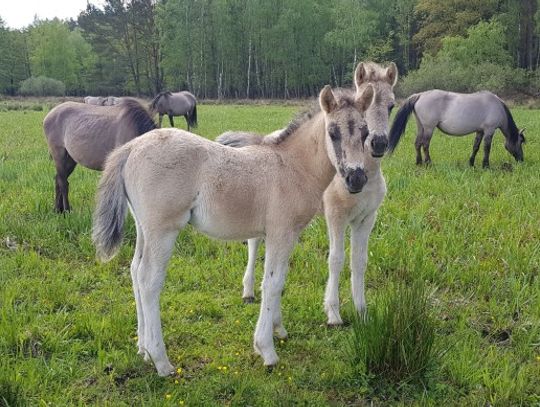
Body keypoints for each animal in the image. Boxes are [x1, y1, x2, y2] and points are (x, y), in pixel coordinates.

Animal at [92, 66, 376, 376]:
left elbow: (280, 280)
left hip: (143, 228)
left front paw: (279, 329)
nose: (357, 178)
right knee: (149, 280)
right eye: (332, 133)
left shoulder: (286, 235)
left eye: (365, 132)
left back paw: (143, 349)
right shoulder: (281, 232)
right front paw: (266, 349)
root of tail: (131, 147)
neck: (292, 167)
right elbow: (271, 284)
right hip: (163, 231)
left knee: (134, 271)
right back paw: (161, 361)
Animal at [215, 61, 396, 326]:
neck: (368, 177)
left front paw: (362, 312)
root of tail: (266, 138)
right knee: (254, 242)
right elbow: (336, 259)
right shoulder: (335, 216)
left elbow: (360, 261)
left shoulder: (366, 219)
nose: (379, 144)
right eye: (369, 106)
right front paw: (333, 313)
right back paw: (248, 291)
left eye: (392, 105)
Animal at [390, 89, 524, 167]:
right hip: (429, 128)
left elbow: (476, 147)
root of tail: (420, 95)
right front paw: (486, 165)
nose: (521, 160)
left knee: (417, 143)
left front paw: (471, 163)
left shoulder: (480, 131)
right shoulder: (489, 131)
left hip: (421, 127)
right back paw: (428, 163)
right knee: (425, 145)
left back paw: (419, 162)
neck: (497, 106)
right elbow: (487, 148)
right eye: (521, 141)